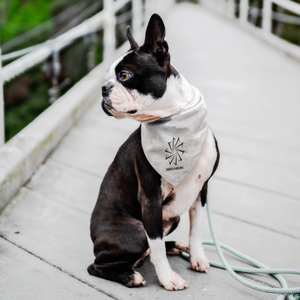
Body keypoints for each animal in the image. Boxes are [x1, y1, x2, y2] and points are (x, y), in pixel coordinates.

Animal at [88, 14, 219, 290]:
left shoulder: (201, 191)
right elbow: (156, 244)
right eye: (108, 77)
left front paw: (197, 257)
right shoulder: (150, 198)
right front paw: (168, 278)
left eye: (124, 75)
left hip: (172, 218)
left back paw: (176, 246)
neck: (175, 117)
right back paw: (130, 275)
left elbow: (196, 229)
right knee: (99, 265)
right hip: (136, 232)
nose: (104, 88)